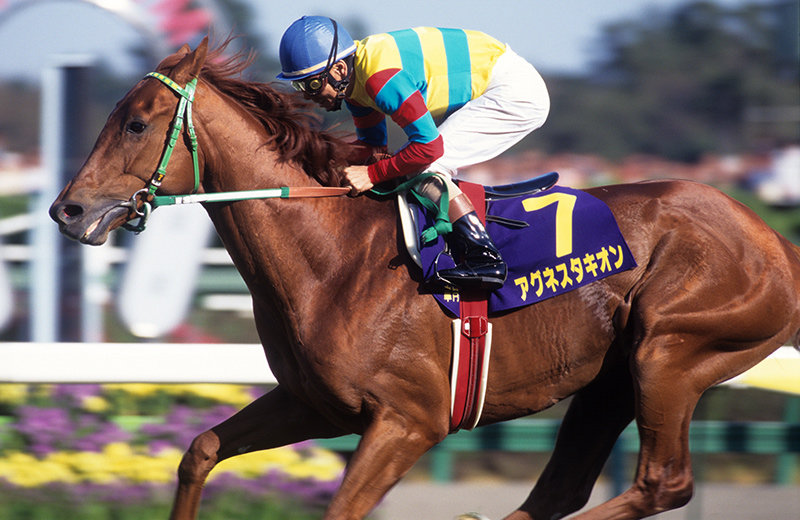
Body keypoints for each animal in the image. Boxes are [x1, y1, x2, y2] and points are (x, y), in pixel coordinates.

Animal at [50, 38, 800, 520]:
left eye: (135, 123)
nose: (67, 210)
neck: (333, 255)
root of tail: (774, 240)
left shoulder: (410, 421)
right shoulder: (316, 405)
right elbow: (199, 451)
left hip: (670, 353)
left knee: (662, 484)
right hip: (610, 380)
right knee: (561, 491)